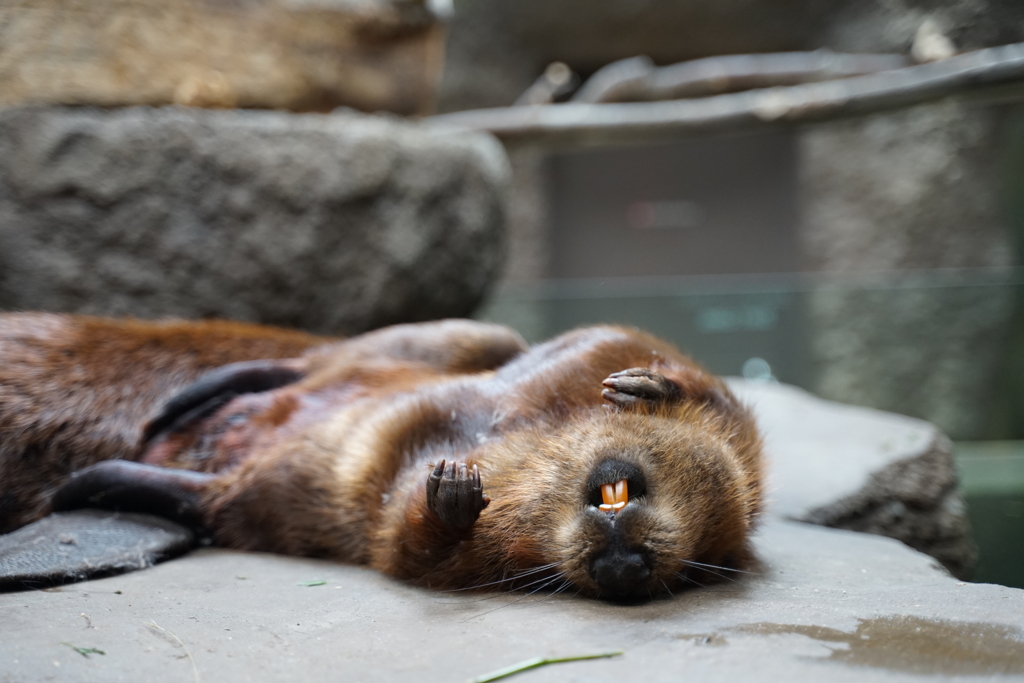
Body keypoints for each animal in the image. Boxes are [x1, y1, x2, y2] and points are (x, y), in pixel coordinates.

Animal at [0, 313, 761, 598]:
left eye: (697, 567)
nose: (629, 567)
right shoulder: (587, 349)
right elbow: (612, 350)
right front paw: (646, 385)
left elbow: (404, 546)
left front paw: (452, 490)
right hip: (449, 335)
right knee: (304, 364)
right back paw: (177, 405)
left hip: (275, 494)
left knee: (214, 499)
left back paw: (91, 482)